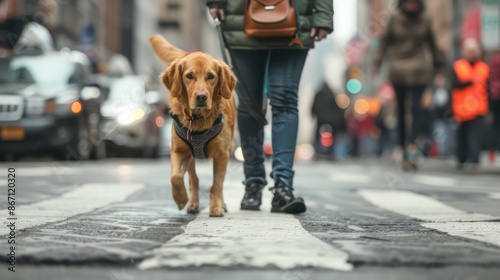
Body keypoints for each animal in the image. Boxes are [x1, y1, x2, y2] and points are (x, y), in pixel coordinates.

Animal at [149, 35, 237, 218]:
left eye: (211, 76)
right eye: (189, 75)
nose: (201, 97)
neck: (197, 119)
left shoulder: (222, 154)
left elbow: (217, 184)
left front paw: (216, 207)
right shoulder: (179, 151)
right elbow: (175, 177)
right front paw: (181, 198)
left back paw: (222, 204)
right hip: (190, 156)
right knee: (193, 179)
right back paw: (193, 203)